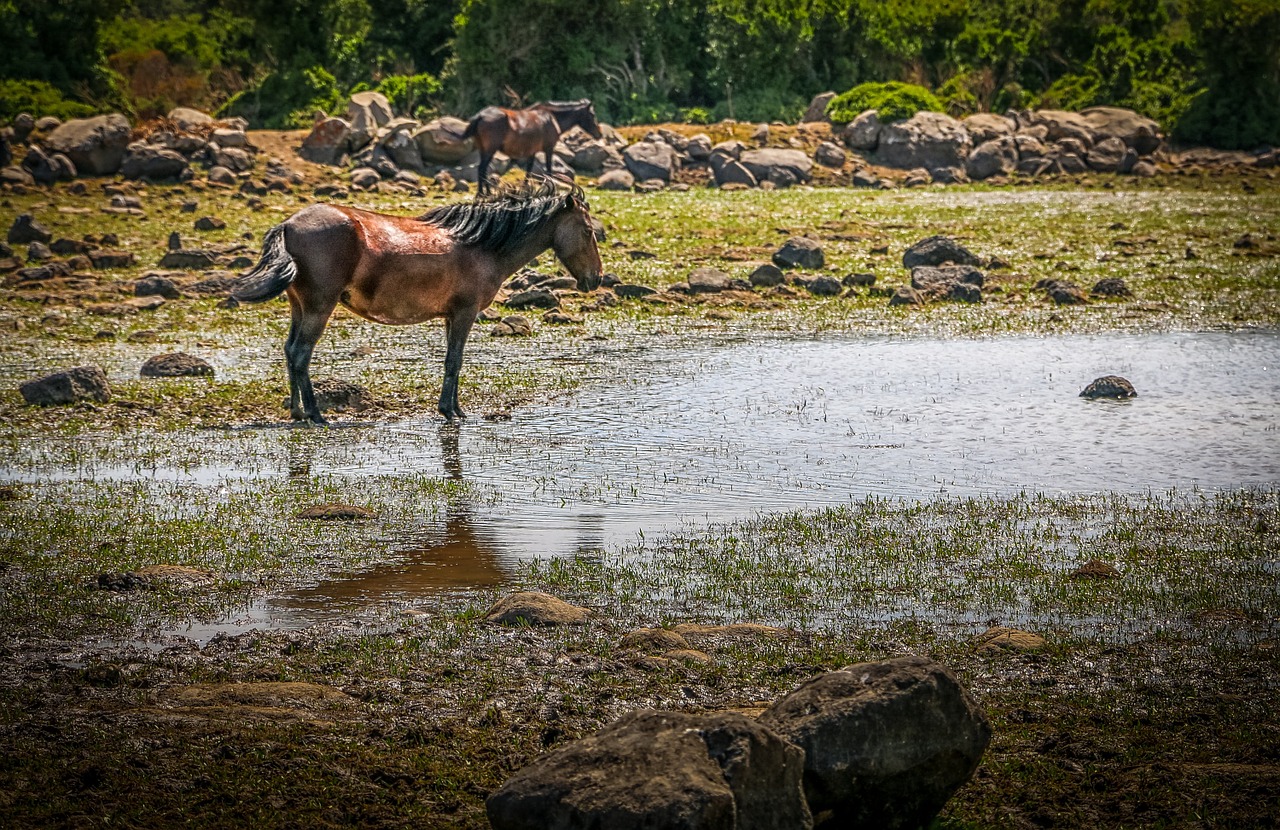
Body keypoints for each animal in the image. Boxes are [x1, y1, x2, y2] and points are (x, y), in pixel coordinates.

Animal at [231, 179, 604, 422]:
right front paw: (451, 411)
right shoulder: (465, 314)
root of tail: (288, 225)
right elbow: (454, 361)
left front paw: (453, 407)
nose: (596, 278)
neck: (482, 245)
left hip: (299, 306)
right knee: (301, 353)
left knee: (290, 351)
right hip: (320, 307)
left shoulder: (451, 316)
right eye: (588, 231)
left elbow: (453, 362)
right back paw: (315, 413)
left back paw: (296, 410)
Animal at [463, 99, 601, 194]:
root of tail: (480, 116)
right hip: (490, 150)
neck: (551, 118)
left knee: (484, 170)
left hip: (484, 150)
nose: (599, 134)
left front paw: (525, 188)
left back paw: (486, 193)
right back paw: (482, 194)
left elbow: (529, 170)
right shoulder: (549, 149)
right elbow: (548, 170)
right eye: (592, 115)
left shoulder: (532, 151)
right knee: (482, 169)